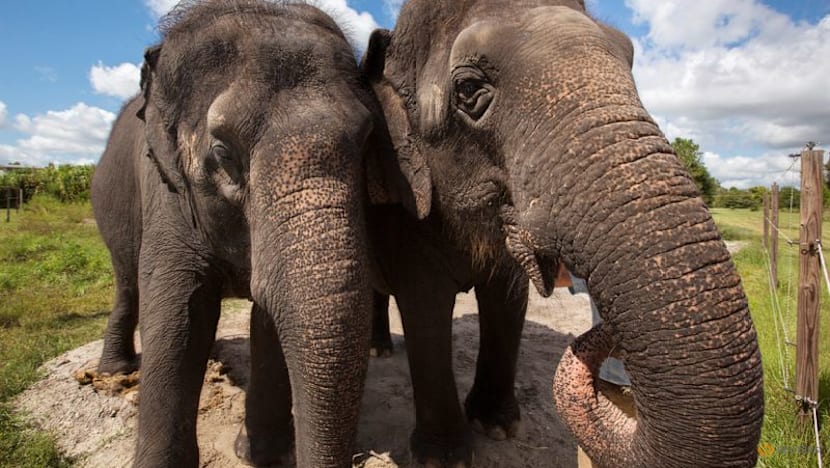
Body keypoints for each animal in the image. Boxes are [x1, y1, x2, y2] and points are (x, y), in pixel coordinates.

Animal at [91, 1, 378, 466]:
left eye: (369, 141)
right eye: (223, 153)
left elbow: (269, 315)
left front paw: (257, 453)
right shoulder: (166, 190)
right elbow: (176, 313)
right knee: (128, 282)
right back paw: (115, 371)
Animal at [360, 0, 764, 467]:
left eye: (631, 61)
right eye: (469, 90)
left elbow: (508, 302)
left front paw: (497, 427)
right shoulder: (409, 207)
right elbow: (425, 309)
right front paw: (443, 459)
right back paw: (379, 351)